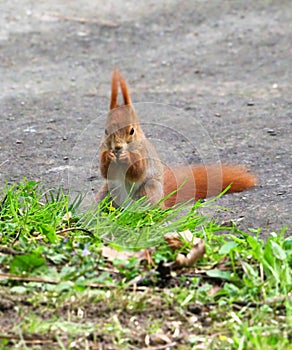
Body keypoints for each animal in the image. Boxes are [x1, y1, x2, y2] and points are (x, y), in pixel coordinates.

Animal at [97, 69, 256, 209]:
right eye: (105, 131)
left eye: (131, 131)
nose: (117, 147)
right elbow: (105, 171)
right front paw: (109, 156)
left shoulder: (144, 153)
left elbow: (138, 171)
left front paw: (126, 157)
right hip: (108, 190)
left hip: (149, 190)